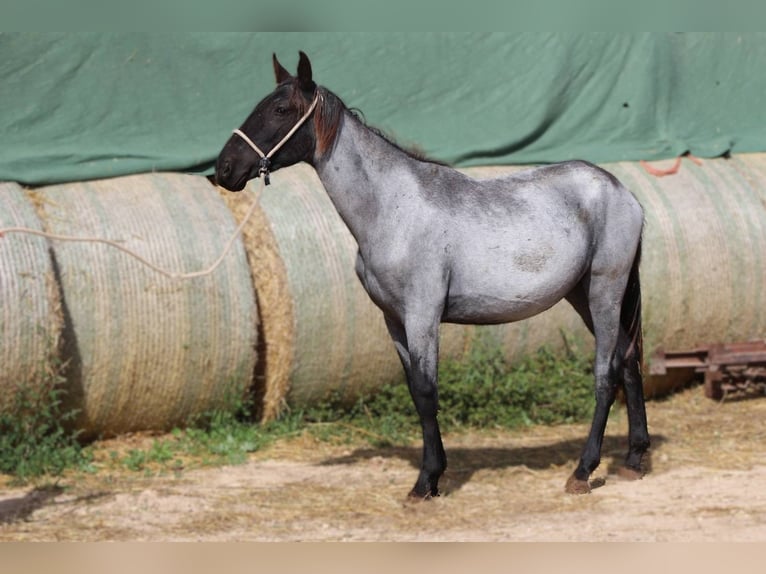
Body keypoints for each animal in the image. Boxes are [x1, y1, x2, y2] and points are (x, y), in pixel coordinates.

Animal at [218, 53, 656, 500]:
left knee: (607, 373)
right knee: (628, 361)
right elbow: (416, 390)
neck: (392, 209)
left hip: (604, 292)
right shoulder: (394, 320)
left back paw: (583, 471)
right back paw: (634, 460)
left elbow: (428, 391)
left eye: (280, 109)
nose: (224, 169)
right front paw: (433, 475)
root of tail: (622, 191)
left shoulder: (422, 316)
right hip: (585, 295)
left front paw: (425, 483)